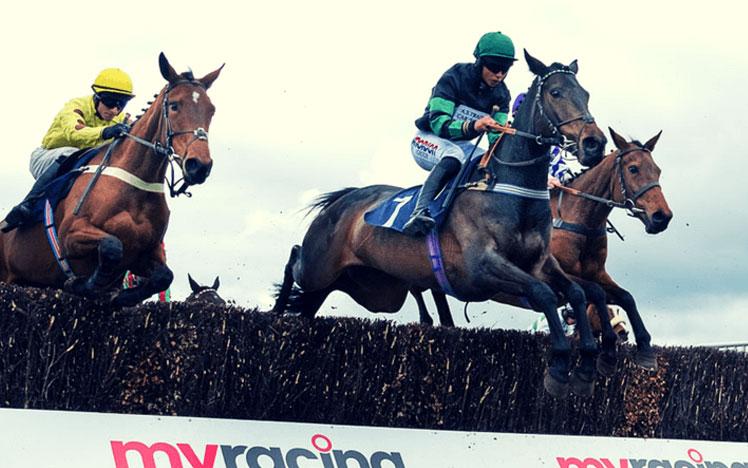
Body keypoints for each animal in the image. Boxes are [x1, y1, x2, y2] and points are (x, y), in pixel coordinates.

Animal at [0, 53, 224, 308]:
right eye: (174, 105)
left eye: (211, 110)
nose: (200, 166)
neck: (135, 186)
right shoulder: (70, 235)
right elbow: (112, 247)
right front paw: (86, 284)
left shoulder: (146, 252)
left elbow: (164, 276)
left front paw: (120, 295)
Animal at [274, 50, 608, 394]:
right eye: (555, 92)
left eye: (585, 94)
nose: (594, 143)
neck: (509, 190)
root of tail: (344, 200)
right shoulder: (482, 266)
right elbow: (543, 294)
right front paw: (559, 366)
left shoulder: (540, 263)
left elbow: (579, 293)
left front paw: (587, 366)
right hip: (319, 268)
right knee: (296, 259)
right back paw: (275, 315)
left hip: (375, 291)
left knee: (316, 298)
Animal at [414, 128, 672, 376]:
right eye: (633, 168)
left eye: (658, 171)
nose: (662, 217)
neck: (576, 222)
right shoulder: (552, 274)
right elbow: (595, 294)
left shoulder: (596, 273)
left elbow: (625, 297)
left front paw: (644, 351)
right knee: (418, 288)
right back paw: (426, 321)